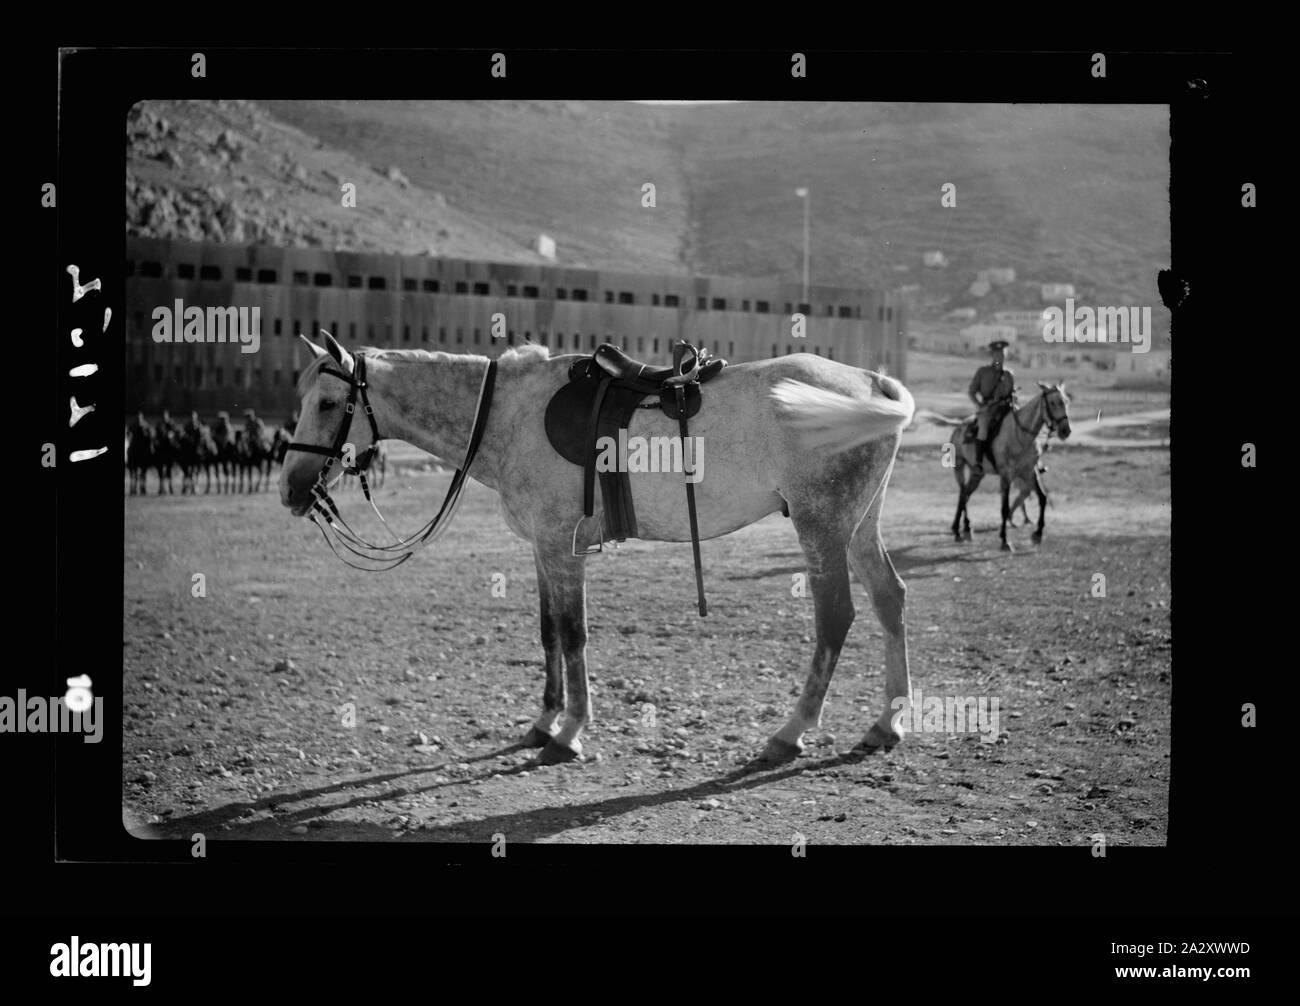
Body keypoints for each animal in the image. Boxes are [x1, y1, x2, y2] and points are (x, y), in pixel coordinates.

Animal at [282, 335, 915, 769]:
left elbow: (574, 634)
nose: (290, 487)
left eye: (329, 402)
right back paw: (887, 723)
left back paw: (792, 731)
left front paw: (570, 732)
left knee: (835, 617)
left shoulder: (565, 548)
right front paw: (544, 721)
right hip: (859, 526)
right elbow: (549, 632)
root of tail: (871, 380)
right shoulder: (544, 549)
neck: (509, 416)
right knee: (889, 599)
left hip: (821, 525)